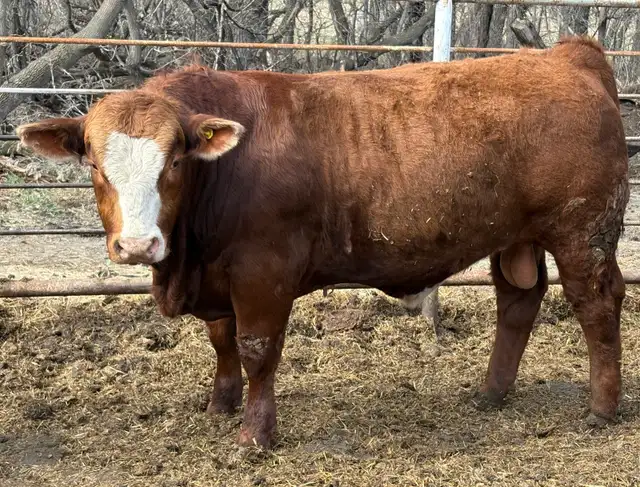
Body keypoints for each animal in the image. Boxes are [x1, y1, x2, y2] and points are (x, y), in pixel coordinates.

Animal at [17, 36, 629, 449]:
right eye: (94, 164)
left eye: (174, 163)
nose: (139, 245)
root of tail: (568, 54)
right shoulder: (218, 274)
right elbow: (221, 342)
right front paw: (219, 405)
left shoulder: (263, 272)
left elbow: (256, 349)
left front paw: (255, 437)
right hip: (517, 236)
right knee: (518, 301)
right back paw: (491, 394)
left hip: (584, 232)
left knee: (596, 306)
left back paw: (602, 409)